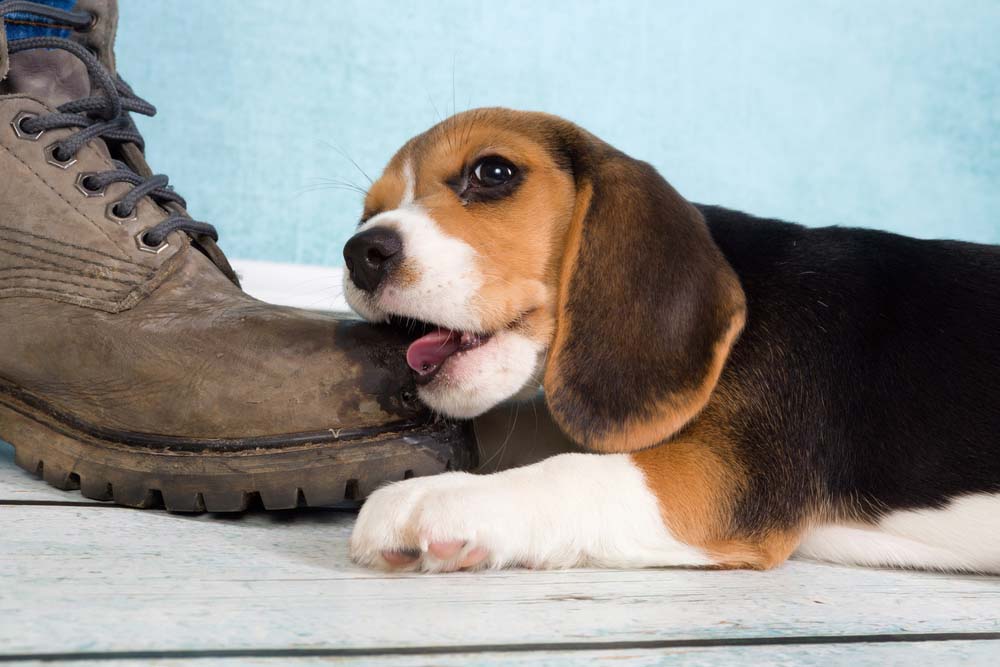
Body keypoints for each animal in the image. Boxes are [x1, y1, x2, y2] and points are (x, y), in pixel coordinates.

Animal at [342, 109, 1000, 576]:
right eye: (367, 214)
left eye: (493, 172)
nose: (361, 253)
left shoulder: (717, 479)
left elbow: (571, 471)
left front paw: (442, 497)